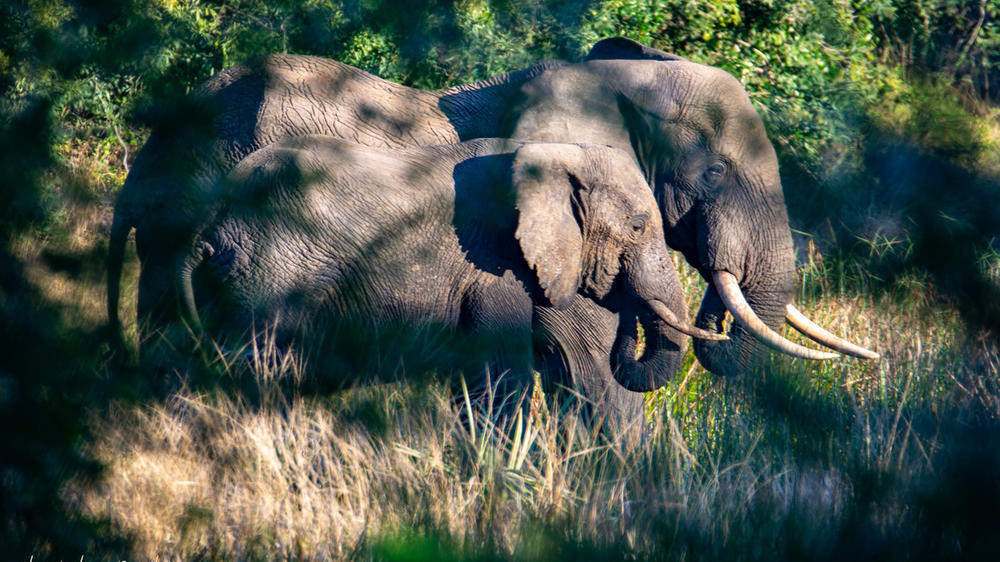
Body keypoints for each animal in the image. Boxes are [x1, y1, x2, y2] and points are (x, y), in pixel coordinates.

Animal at [176, 136, 722, 416]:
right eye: (638, 226)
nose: (621, 298)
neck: (549, 153)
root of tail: (212, 218)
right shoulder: (493, 269)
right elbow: (502, 380)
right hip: (268, 275)